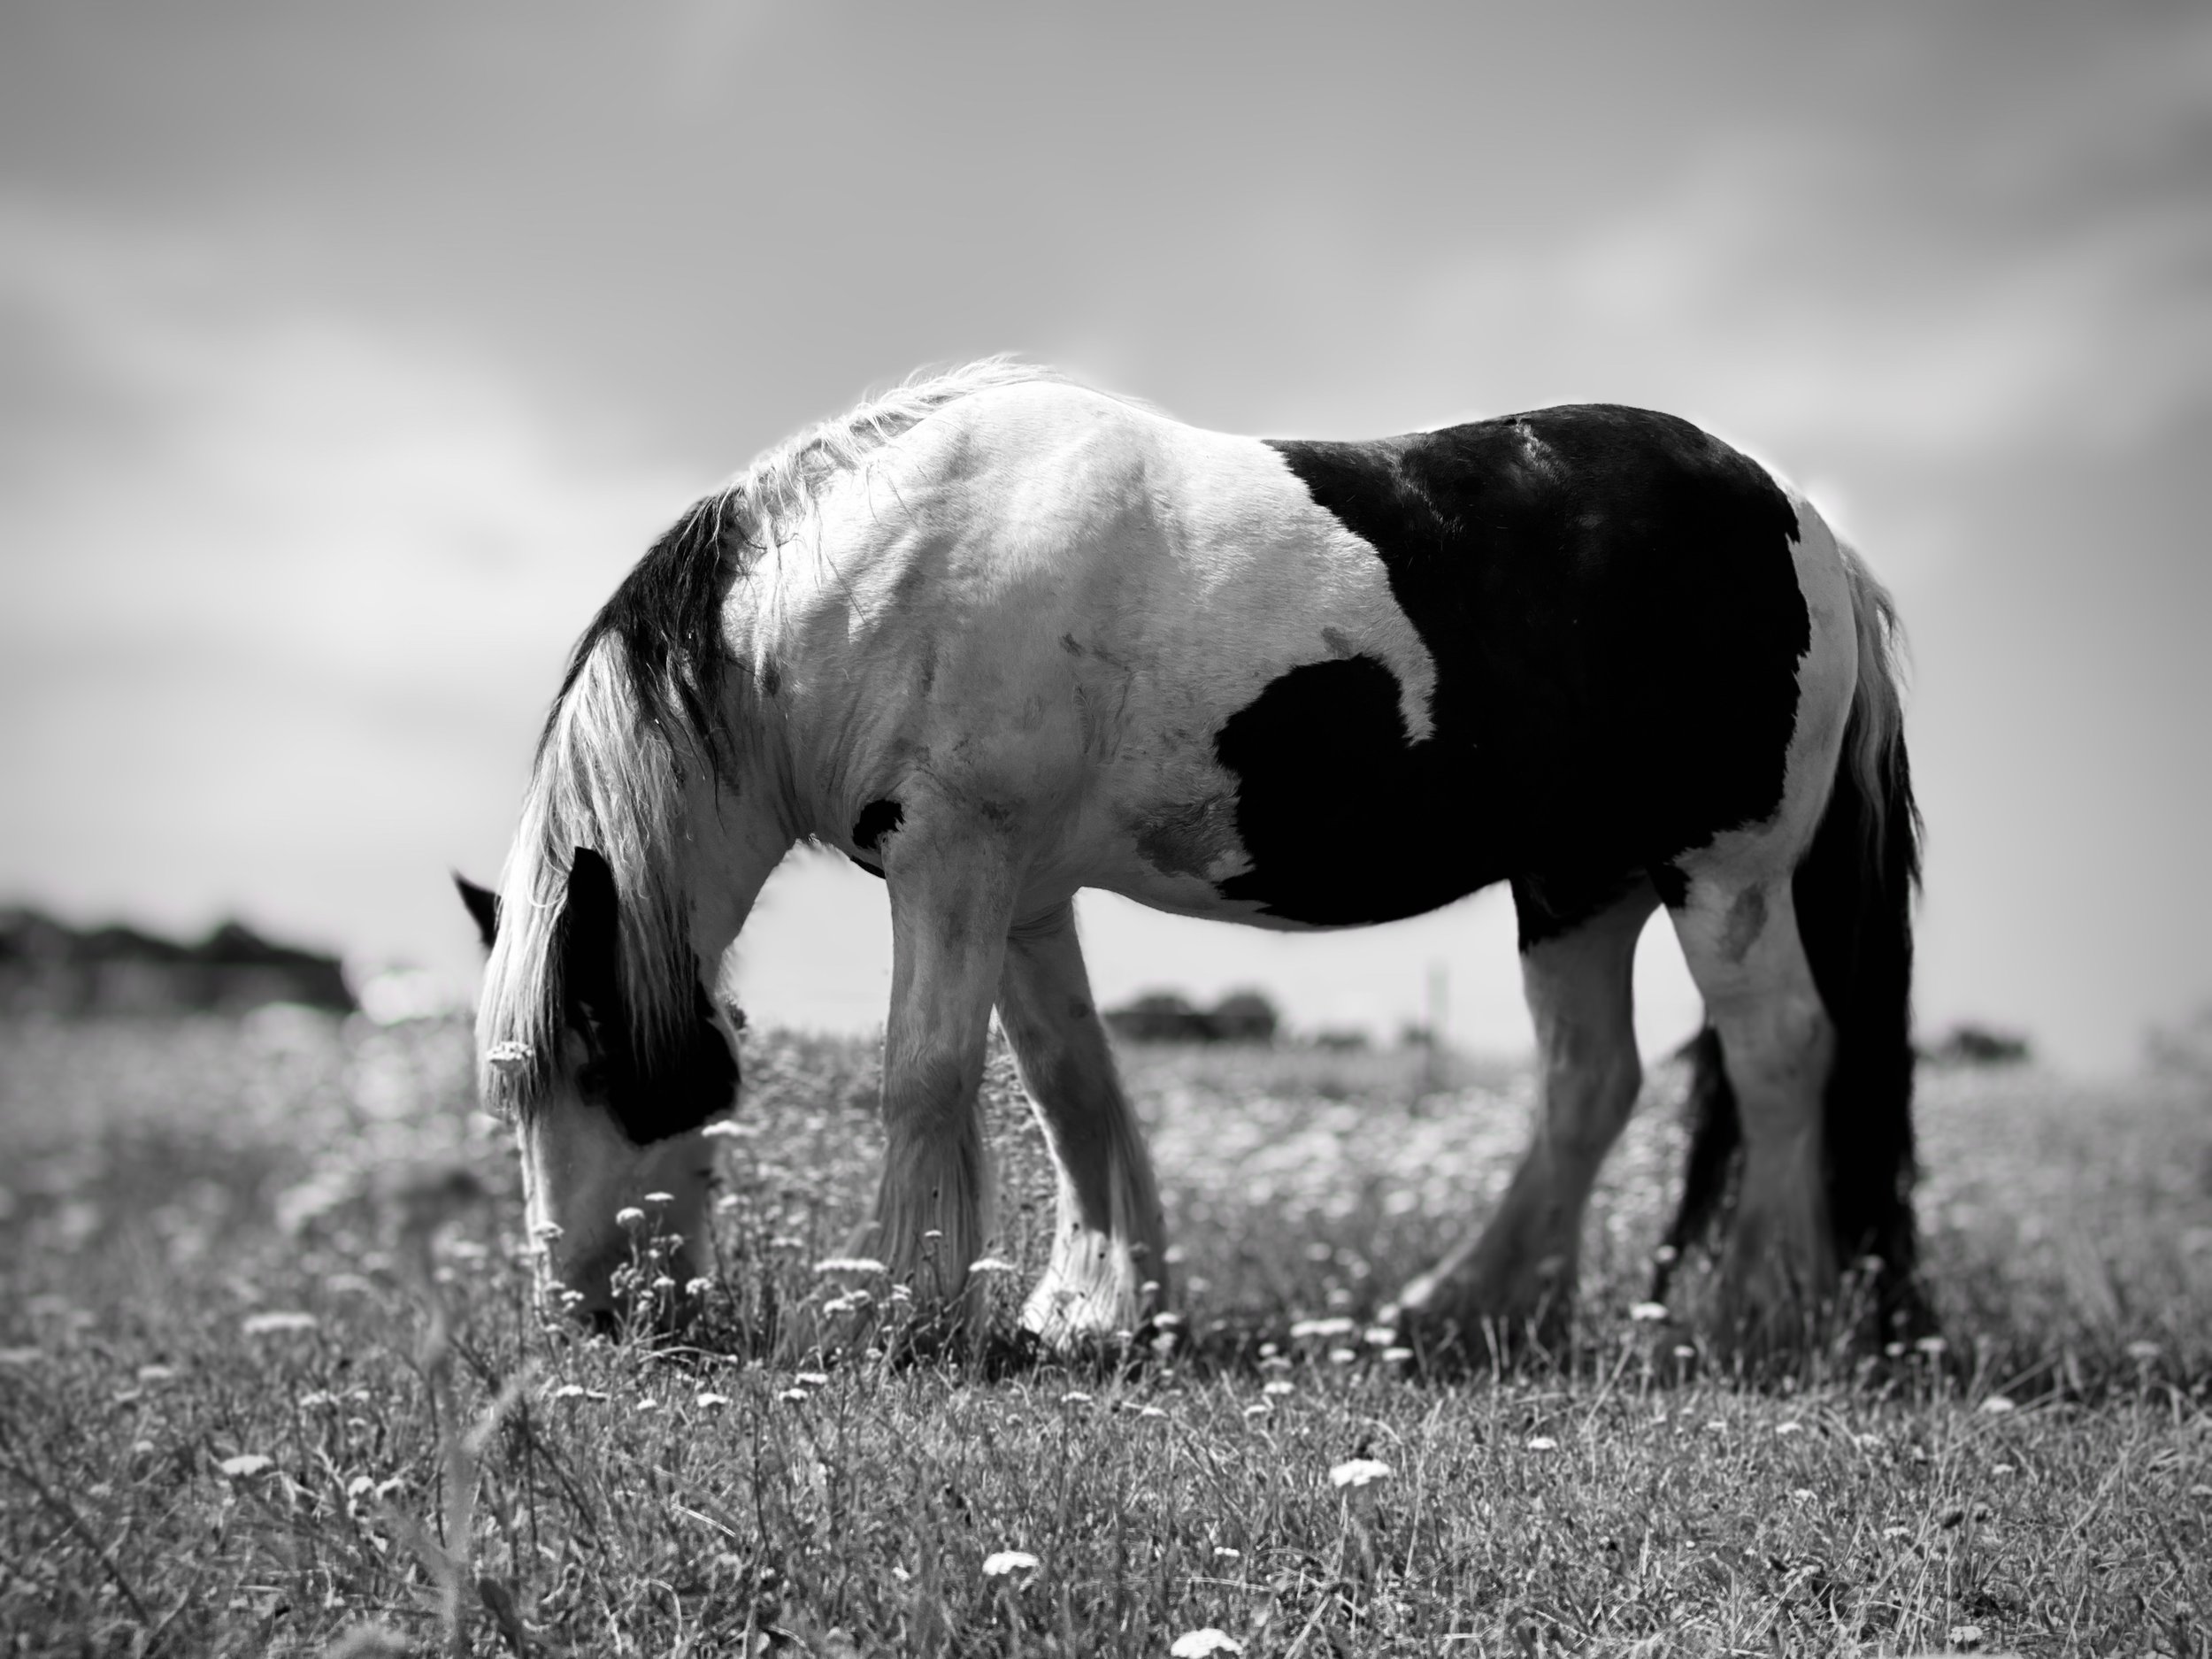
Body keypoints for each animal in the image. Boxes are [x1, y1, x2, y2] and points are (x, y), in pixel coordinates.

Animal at [459, 358, 1923, 1350]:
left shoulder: (955, 861)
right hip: (1581, 883)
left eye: (599, 1057)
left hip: (1724, 874)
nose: (580, 1308)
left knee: (1781, 1049)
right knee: (1589, 1082)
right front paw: (1088, 1306)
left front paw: (897, 1308)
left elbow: (925, 1075)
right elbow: (1071, 1086)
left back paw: (1758, 1317)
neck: (877, 570)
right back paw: (1467, 1308)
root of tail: (1804, 523)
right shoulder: (1024, 892)